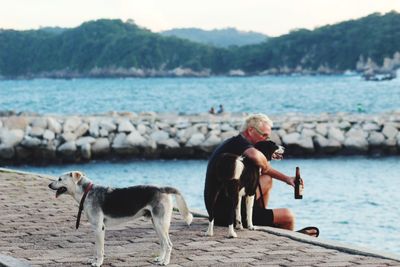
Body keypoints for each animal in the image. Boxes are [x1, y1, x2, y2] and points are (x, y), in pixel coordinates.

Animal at [49, 173, 193, 266]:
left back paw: (165, 262)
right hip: (156, 223)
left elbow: (99, 249)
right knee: (163, 243)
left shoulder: (99, 228)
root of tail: (163, 188)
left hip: (160, 223)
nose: (49, 185)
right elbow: (97, 248)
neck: (86, 192)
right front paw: (94, 260)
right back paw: (160, 259)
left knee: (168, 244)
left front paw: (98, 262)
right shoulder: (97, 228)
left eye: (60, 179)